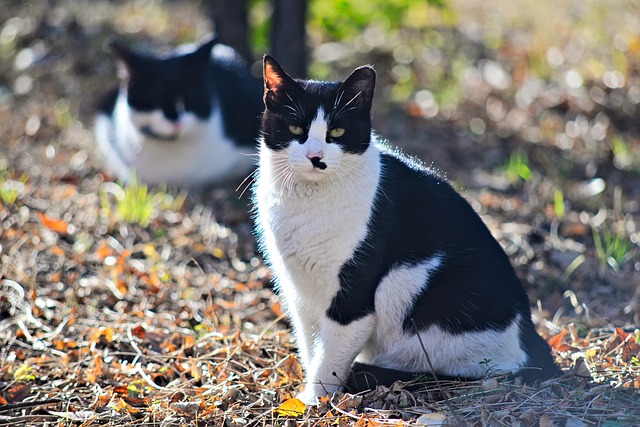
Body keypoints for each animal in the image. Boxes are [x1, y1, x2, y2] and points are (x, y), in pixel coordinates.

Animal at [252, 56, 564, 404]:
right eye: (296, 128)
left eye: (337, 131)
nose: (315, 157)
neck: (308, 202)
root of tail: (534, 340)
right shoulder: (299, 293)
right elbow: (310, 346)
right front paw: (306, 395)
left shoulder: (353, 299)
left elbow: (330, 357)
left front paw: (313, 402)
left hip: (420, 286)